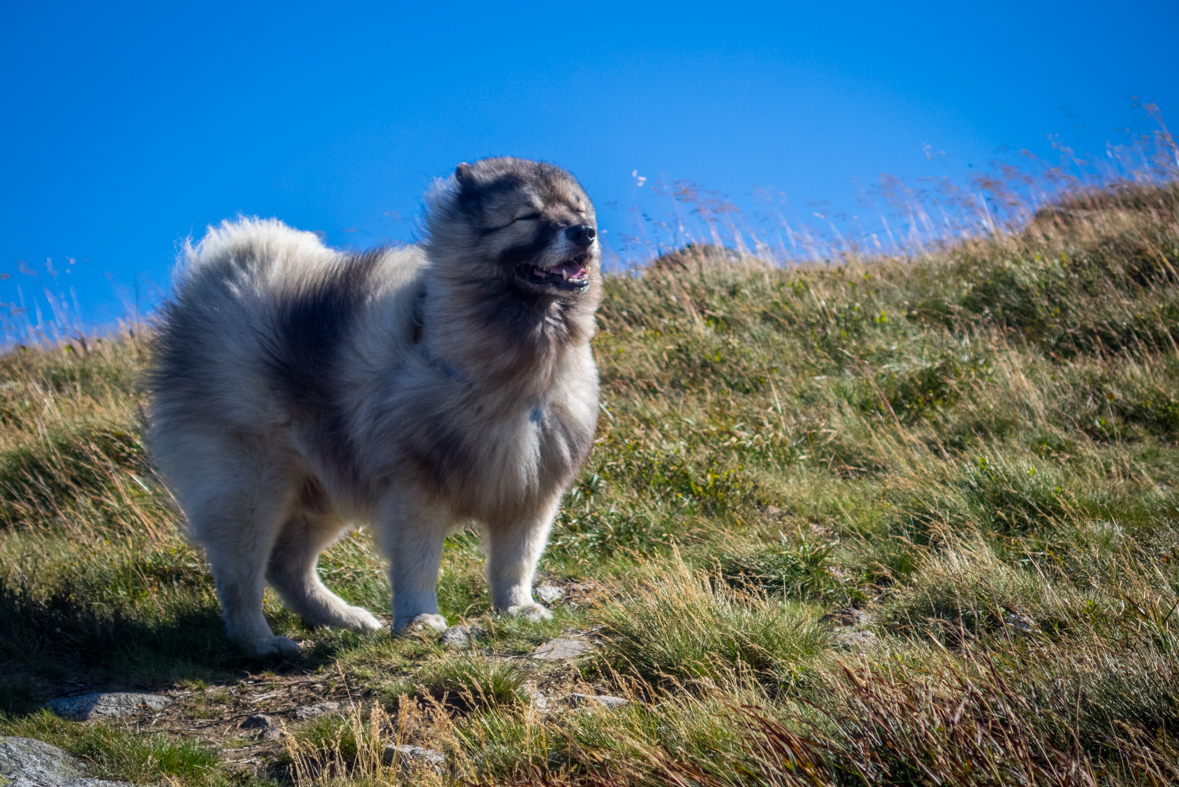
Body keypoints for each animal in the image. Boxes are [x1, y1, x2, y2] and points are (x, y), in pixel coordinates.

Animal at [149, 156, 598, 655]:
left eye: (579, 211)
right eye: (529, 216)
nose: (584, 233)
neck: (511, 367)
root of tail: (213, 287)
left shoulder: (530, 488)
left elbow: (516, 561)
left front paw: (517, 608)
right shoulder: (416, 488)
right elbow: (418, 561)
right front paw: (420, 619)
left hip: (324, 486)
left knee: (286, 565)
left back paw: (346, 619)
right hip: (251, 486)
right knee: (239, 577)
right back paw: (262, 642)